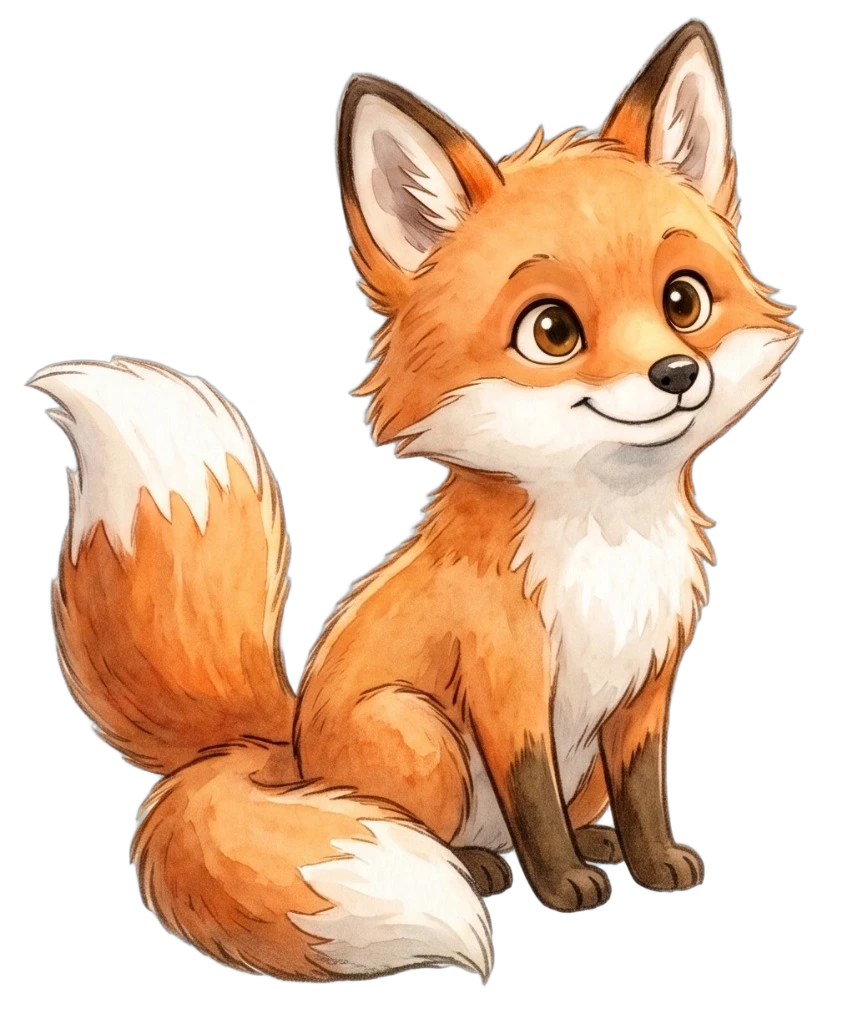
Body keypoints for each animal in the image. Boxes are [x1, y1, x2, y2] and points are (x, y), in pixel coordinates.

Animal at [29, 20, 797, 983]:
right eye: (553, 332)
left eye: (683, 301)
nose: (676, 374)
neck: (607, 548)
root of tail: (290, 751)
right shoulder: (506, 688)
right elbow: (534, 809)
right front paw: (563, 888)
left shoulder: (648, 686)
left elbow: (646, 794)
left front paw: (653, 864)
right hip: (419, 731)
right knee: (443, 830)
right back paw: (480, 866)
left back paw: (594, 845)